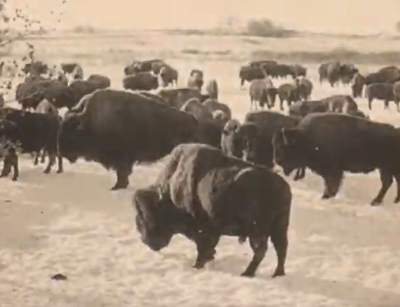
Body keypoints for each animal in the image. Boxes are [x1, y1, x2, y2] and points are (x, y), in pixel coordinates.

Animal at [133, 144, 292, 280]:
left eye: (145, 217)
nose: (146, 241)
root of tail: (282, 187)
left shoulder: (202, 228)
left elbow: (202, 245)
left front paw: (198, 264)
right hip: (278, 228)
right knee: (280, 249)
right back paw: (276, 274)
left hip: (258, 231)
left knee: (262, 250)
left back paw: (248, 273)